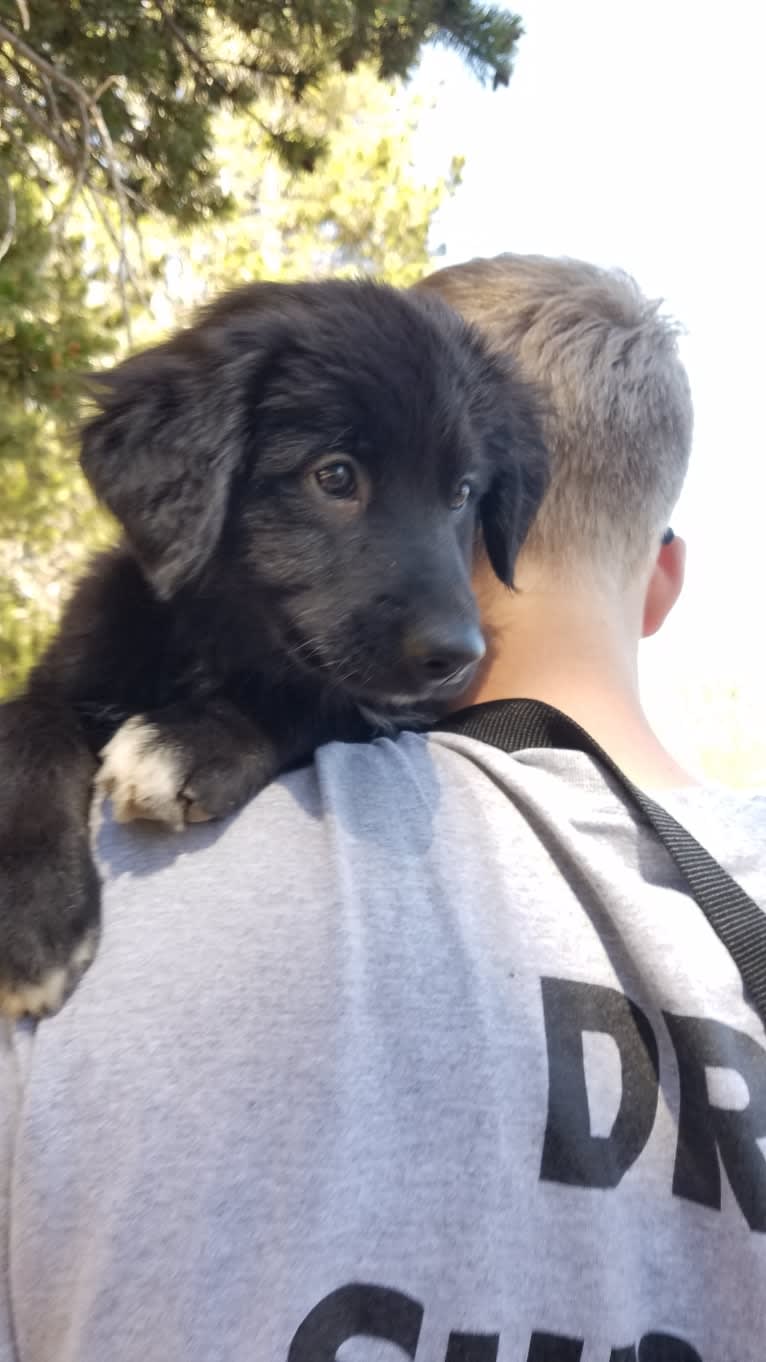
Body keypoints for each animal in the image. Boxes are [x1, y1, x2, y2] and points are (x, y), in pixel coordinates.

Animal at [0, 281, 542, 1018]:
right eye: (335, 476)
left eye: (462, 494)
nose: (458, 656)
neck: (216, 643)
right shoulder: (72, 665)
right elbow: (26, 730)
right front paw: (29, 915)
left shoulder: (383, 711)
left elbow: (316, 704)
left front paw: (192, 739)